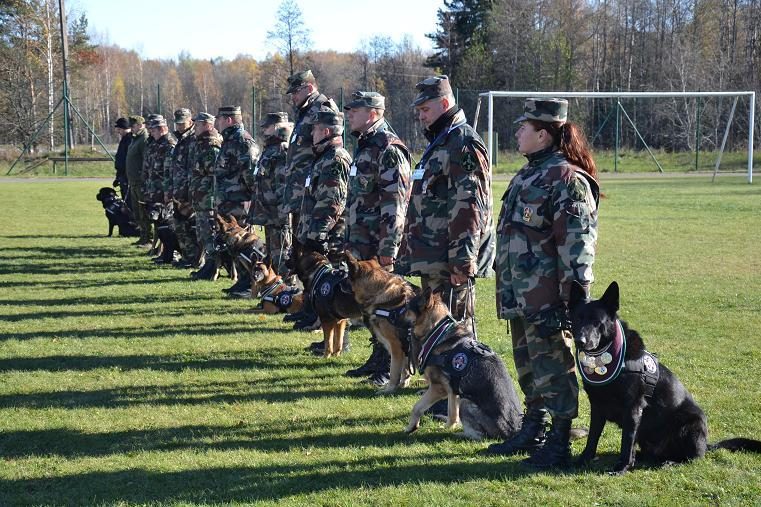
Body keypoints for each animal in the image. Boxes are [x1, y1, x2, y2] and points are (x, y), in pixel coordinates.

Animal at [342, 252, 416, 394]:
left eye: (348, 276)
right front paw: (403, 384)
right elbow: (405, 369)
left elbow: (394, 370)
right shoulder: (405, 346)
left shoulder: (396, 345)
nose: (338, 285)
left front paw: (389, 389)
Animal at [398, 286, 524, 440]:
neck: (437, 329)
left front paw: (411, 427)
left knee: (479, 436)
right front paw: (449, 425)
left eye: (406, 308)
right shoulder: (452, 390)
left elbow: (417, 407)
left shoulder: (438, 388)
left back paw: (460, 434)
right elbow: (452, 412)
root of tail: (514, 430)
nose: (393, 317)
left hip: (466, 401)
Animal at [568, 282, 760, 476]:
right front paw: (584, 460)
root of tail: (706, 445)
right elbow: (593, 438)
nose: (580, 341)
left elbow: (626, 441)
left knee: (692, 458)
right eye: (577, 319)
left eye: (597, 323)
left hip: (692, 423)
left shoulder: (633, 409)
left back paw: (670, 463)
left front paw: (621, 468)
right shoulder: (598, 407)